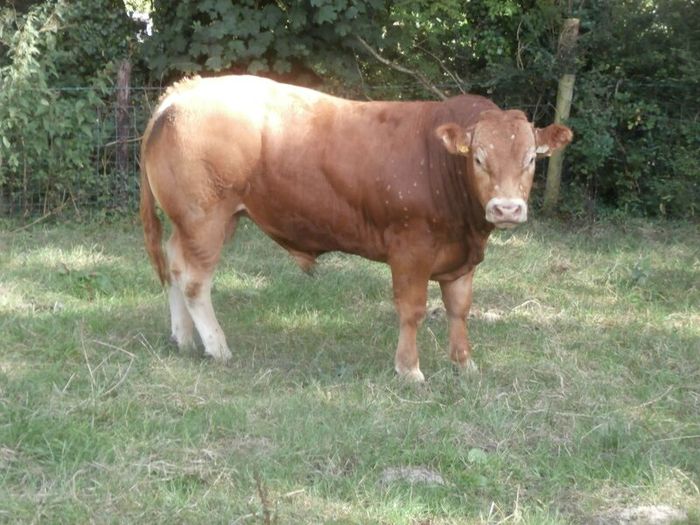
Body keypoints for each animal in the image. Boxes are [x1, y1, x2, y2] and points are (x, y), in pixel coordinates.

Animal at [140, 75, 572, 382]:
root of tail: (184, 91)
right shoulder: (410, 248)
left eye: (531, 158)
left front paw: (464, 364)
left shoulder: (461, 258)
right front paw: (409, 369)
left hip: (198, 223)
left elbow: (459, 309)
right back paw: (217, 346)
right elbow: (412, 310)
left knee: (175, 267)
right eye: (479, 159)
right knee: (194, 281)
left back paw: (184, 339)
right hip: (205, 218)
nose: (506, 208)